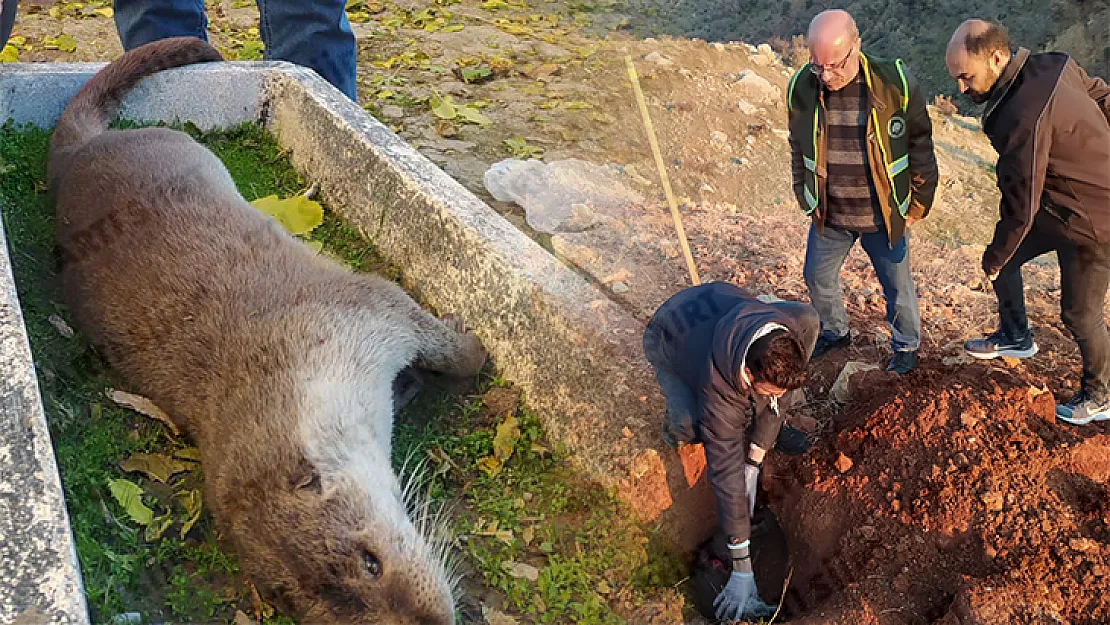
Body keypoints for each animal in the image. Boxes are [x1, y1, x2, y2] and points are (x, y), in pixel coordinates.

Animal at [49, 36, 486, 621]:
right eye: (342, 613)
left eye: (371, 560)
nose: (433, 618)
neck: (299, 355)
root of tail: (74, 157)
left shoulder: (368, 306)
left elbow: (449, 347)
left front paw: (473, 346)